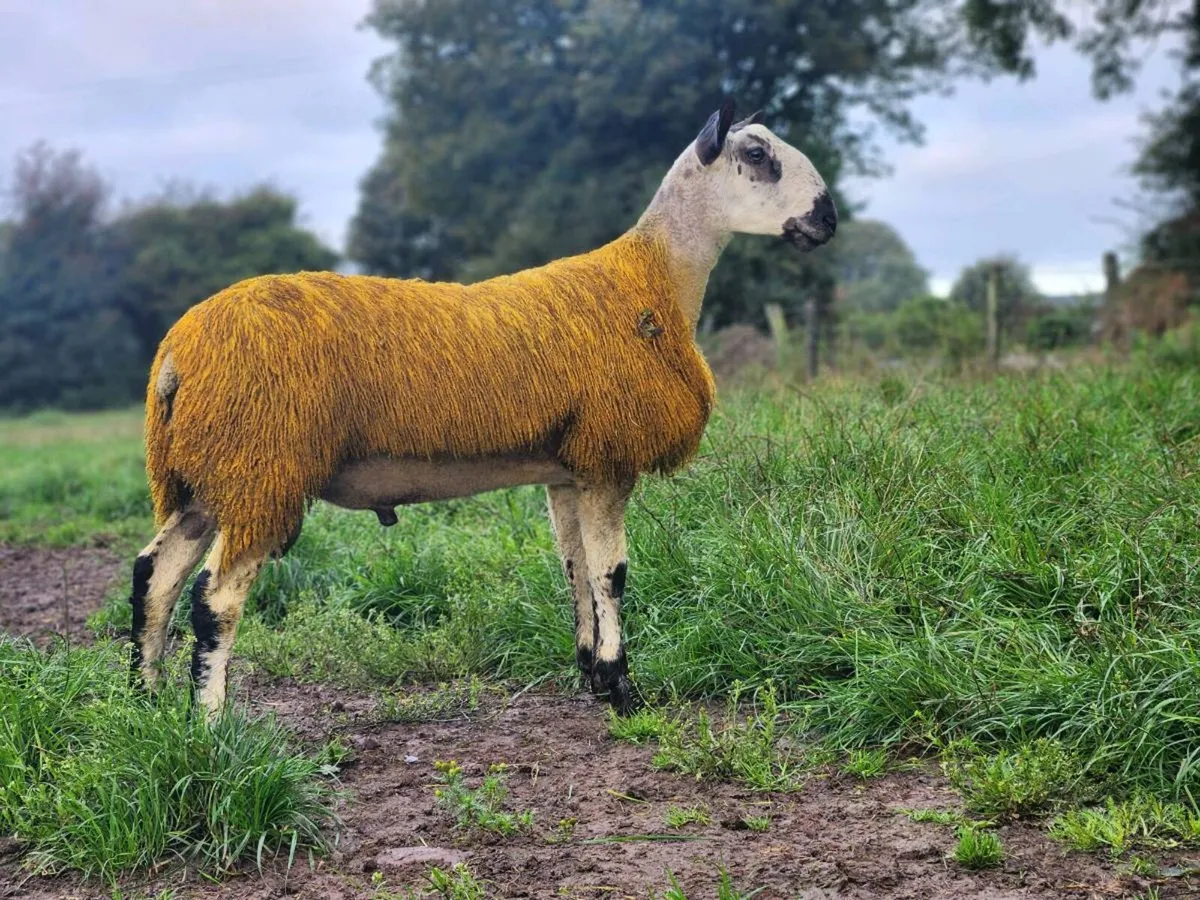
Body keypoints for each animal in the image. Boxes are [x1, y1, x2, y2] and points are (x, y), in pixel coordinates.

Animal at [127, 100, 837, 716]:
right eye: (757, 153)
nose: (827, 218)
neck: (656, 279)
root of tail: (178, 353)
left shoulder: (567, 469)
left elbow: (575, 568)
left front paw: (591, 672)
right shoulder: (607, 459)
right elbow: (613, 574)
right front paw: (623, 692)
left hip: (208, 475)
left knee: (154, 576)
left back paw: (147, 702)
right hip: (260, 469)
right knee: (214, 599)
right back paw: (211, 724)